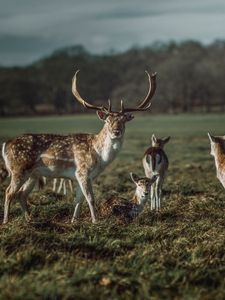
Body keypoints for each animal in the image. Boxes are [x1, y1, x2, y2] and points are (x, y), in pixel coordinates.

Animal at [2, 68, 156, 223]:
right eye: (107, 120)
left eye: (123, 121)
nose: (116, 131)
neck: (99, 156)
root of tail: (5, 145)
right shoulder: (82, 171)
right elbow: (90, 198)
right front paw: (95, 221)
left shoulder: (81, 176)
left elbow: (78, 200)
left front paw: (73, 221)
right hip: (19, 168)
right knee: (9, 192)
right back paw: (6, 221)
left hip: (33, 174)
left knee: (21, 194)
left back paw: (29, 219)